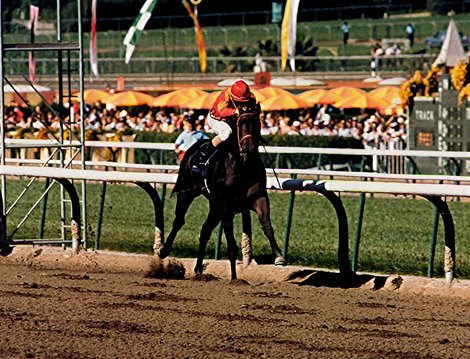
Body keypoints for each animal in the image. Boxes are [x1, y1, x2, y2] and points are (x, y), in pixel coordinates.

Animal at [156, 108, 284, 280]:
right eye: (240, 124)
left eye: (258, 124)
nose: (249, 148)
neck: (243, 166)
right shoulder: (226, 206)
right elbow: (231, 245)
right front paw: (234, 279)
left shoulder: (259, 198)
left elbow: (267, 226)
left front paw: (279, 257)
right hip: (187, 192)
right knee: (179, 221)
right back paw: (163, 250)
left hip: (214, 206)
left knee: (205, 230)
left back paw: (198, 269)